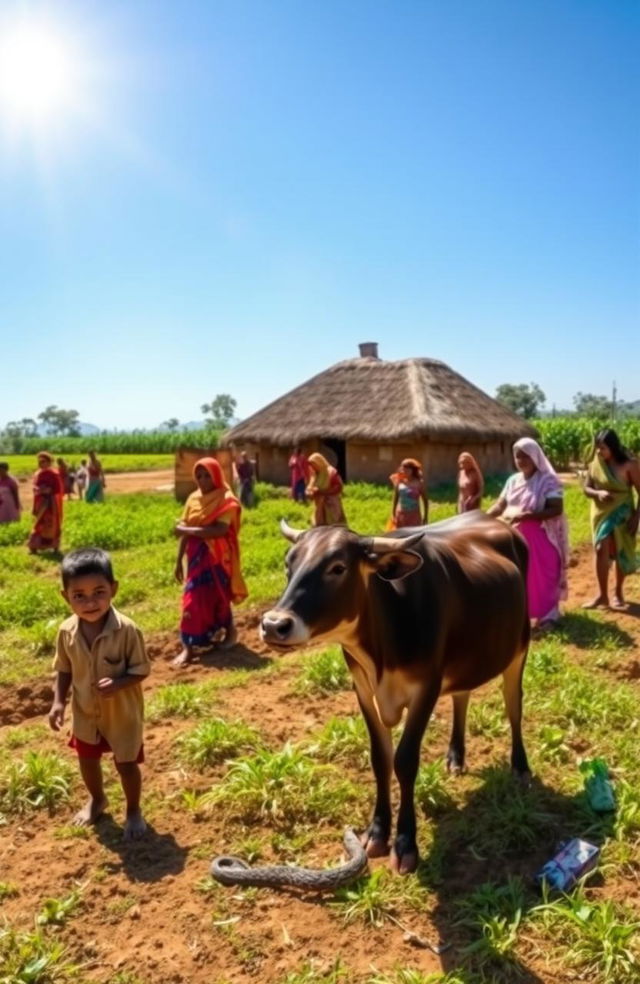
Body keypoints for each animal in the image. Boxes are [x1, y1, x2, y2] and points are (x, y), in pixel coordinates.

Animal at [260, 512, 528, 872]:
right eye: (289, 564)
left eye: (338, 567)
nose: (274, 625)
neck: (381, 650)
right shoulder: (362, 688)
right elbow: (380, 758)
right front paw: (377, 832)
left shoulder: (426, 687)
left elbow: (405, 760)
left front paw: (405, 842)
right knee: (462, 695)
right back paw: (456, 756)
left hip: (519, 647)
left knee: (514, 705)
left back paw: (520, 766)